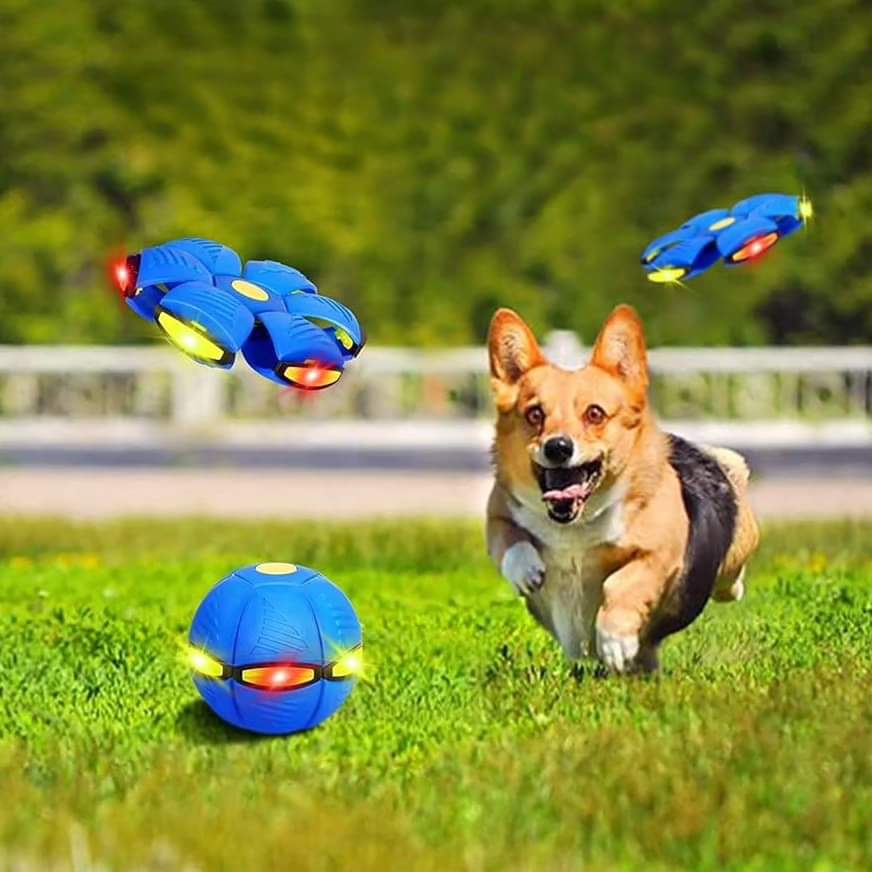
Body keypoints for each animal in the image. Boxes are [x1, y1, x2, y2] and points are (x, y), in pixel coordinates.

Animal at [488, 306, 760, 676]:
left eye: (595, 414)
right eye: (534, 414)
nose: (558, 447)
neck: (575, 524)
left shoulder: (658, 554)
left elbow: (622, 583)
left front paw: (615, 641)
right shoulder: (497, 511)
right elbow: (509, 541)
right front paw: (526, 572)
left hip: (734, 556)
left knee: (731, 583)